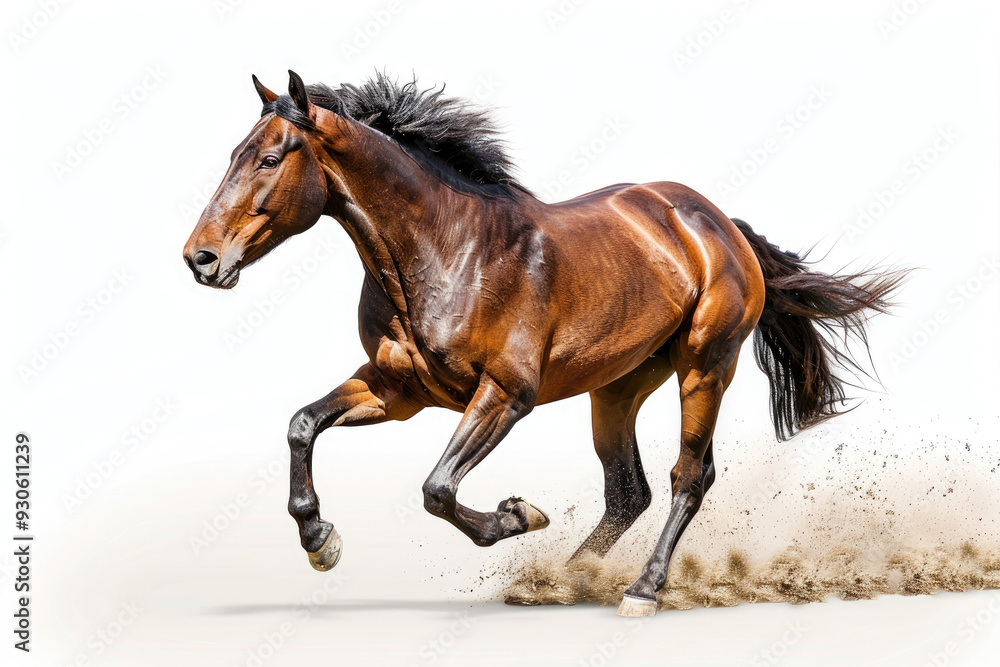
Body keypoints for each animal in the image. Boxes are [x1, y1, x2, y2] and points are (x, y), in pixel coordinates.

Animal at [182, 71, 905, 617]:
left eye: (270, 158)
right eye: (233, 154)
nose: (201, 259)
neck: (446, 251)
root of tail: (718, 223)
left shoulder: (506, 393)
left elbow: (438, 488)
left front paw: (519, 515)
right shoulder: (395, 391)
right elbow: (303, 424)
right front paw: (319, 540)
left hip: (706, 366)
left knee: (687, 476)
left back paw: (640, 590)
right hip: (616, 387)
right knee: (629, 490)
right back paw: (560, 581)